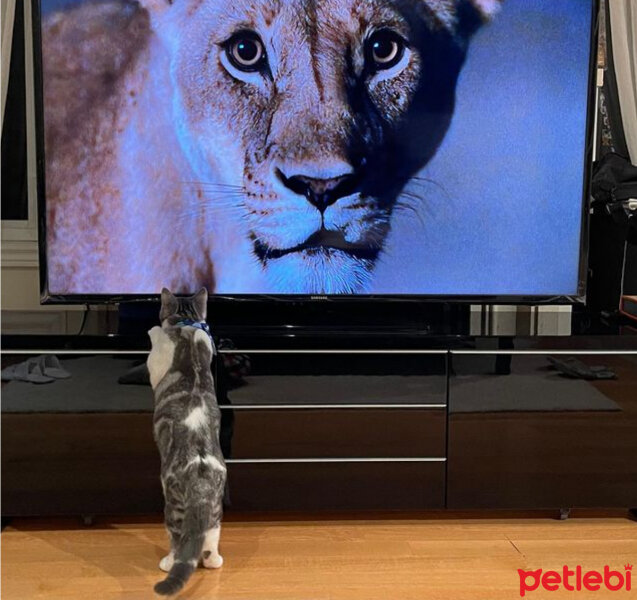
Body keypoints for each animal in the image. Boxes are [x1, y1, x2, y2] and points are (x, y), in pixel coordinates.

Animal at [147, 288, 226, 596]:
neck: (187, 326)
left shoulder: (157, 356)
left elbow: (155, 341)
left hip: (173, 506)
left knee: (178, 541)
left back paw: (167, 562)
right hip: (215, 510)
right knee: (209, 542)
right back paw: (214, 560)